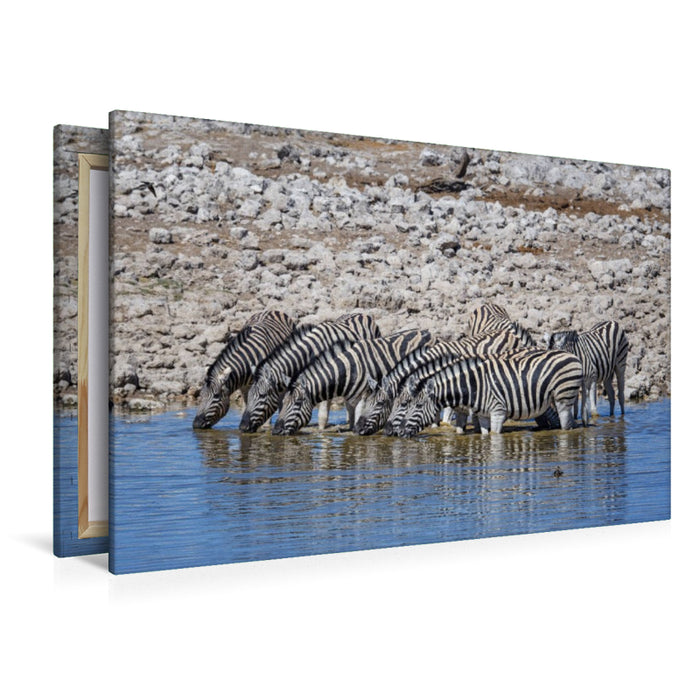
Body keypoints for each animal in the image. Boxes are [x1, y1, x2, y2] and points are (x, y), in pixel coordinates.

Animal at [238, 312, 381, 433]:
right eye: (249, 395)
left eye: (262, 396)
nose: (243, 427)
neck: (310, 353)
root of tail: (362, 313)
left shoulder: (327, 373)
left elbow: (322, 408)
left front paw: (321, 431)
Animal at [271, 329, 433, 435]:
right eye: (283, 403)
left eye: (297, 403)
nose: (276, 431)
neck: (349, 369)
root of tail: (427, 331)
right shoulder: (351, 395)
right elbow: (350, 410)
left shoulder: (365, 393)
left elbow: (359, 412)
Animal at [395, 348, 584, 437]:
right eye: (407, 405)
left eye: (418, 406)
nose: (400, 433)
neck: (472, 386)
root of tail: (573, 356)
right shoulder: (483, 414)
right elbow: (483, 435)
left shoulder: (498, 411)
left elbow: (494, 436)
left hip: (563, 397)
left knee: (566, 426)